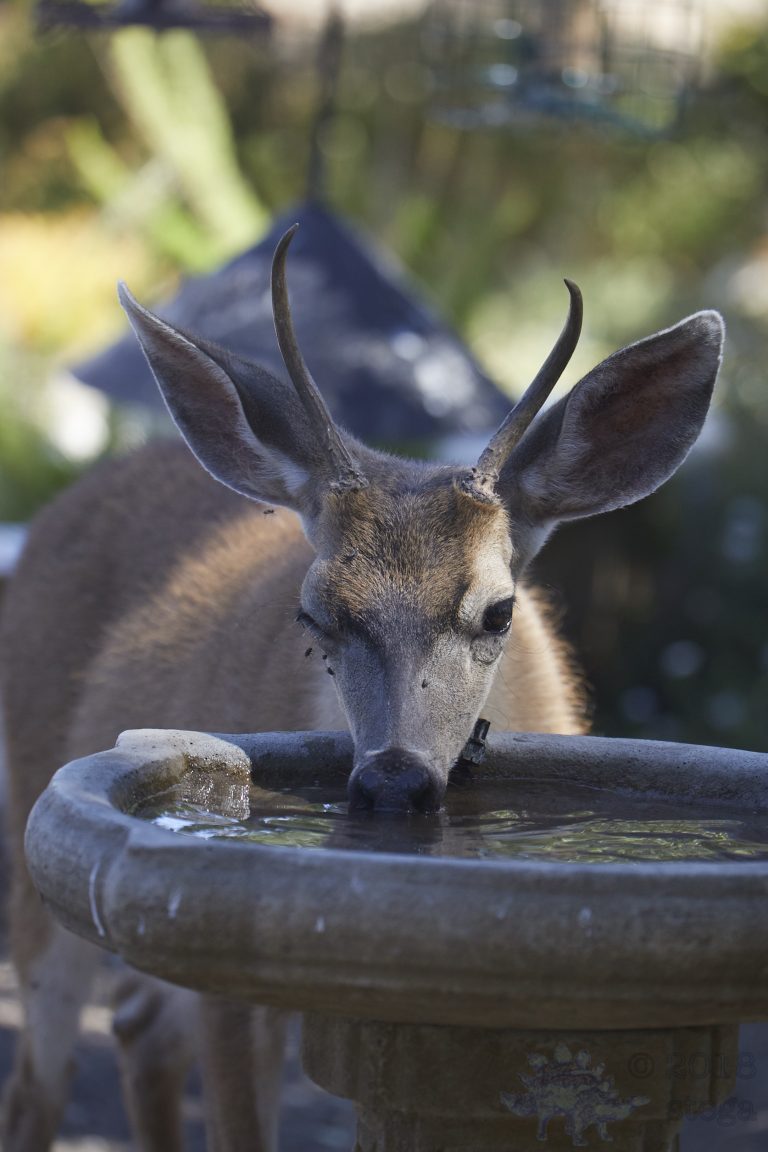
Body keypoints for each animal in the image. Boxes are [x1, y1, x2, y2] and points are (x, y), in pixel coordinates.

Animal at [0, 224, 723, 1152]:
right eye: (314, 612)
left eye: (499, 611)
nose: (392, 782)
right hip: (38, 834)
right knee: (39, 1080)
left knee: (136, 1026)